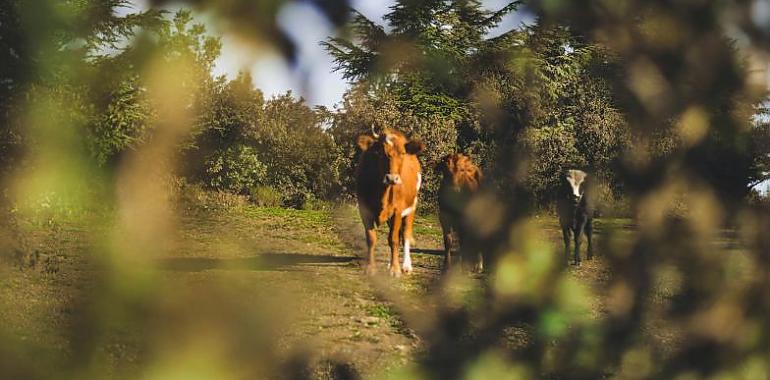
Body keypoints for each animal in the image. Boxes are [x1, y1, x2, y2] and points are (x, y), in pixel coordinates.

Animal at [356, 127, 424, 276]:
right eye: (380, 154)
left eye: (403, 153)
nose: (392, 178)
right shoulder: (364, 209)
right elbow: (371, 238)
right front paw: (370, 267)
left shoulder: (398, 210)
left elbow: (393, 239)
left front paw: (395, 269)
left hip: (412, 206)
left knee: (405, 234)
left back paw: (405, 265)